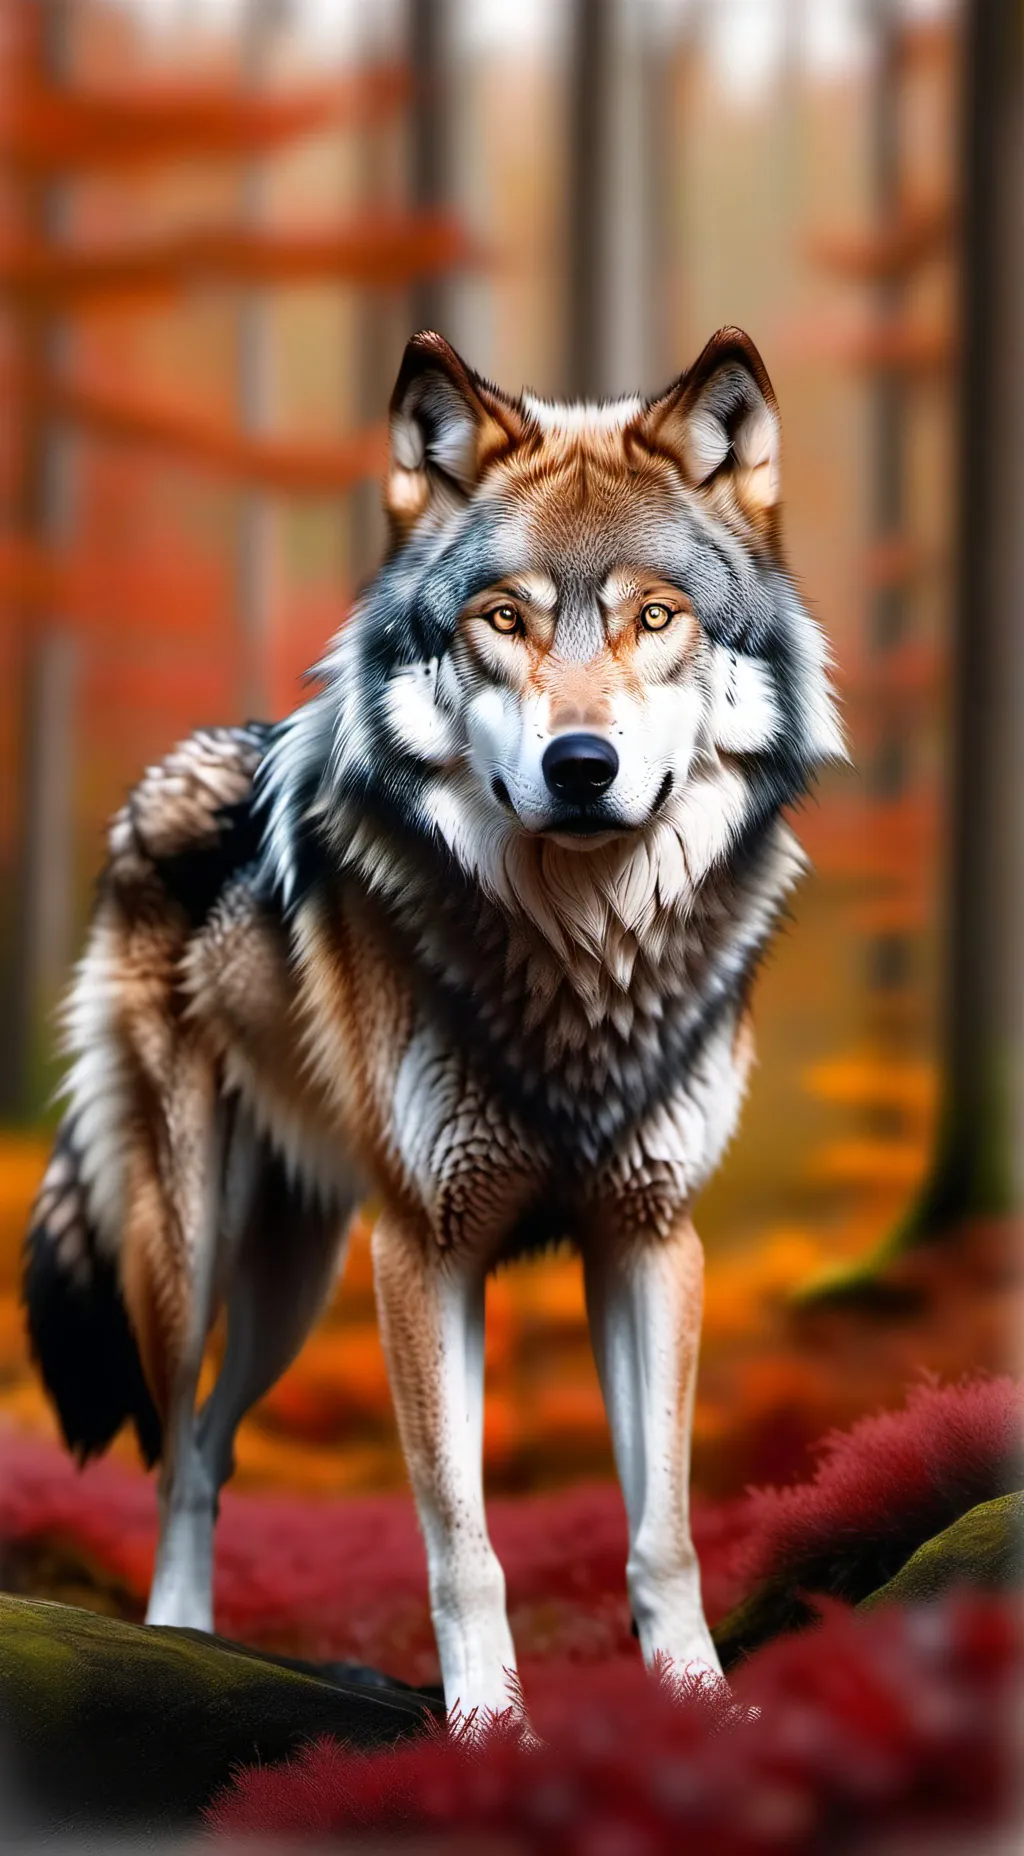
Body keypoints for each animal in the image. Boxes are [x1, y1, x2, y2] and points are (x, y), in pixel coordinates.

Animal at [24, 327, 844, 1720]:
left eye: (655, 617)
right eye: (503, 618)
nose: (581, 766)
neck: (579, 953)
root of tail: (168, 773)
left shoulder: (649, 1239)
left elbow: (662, 1527)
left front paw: (697, 1702)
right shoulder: (425, 1250)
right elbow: (462, 1538)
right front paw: (488, 1728)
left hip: (292, 1277)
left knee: (213, 1441)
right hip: (194, 1253)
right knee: (178, 1444)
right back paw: (180, 1645)